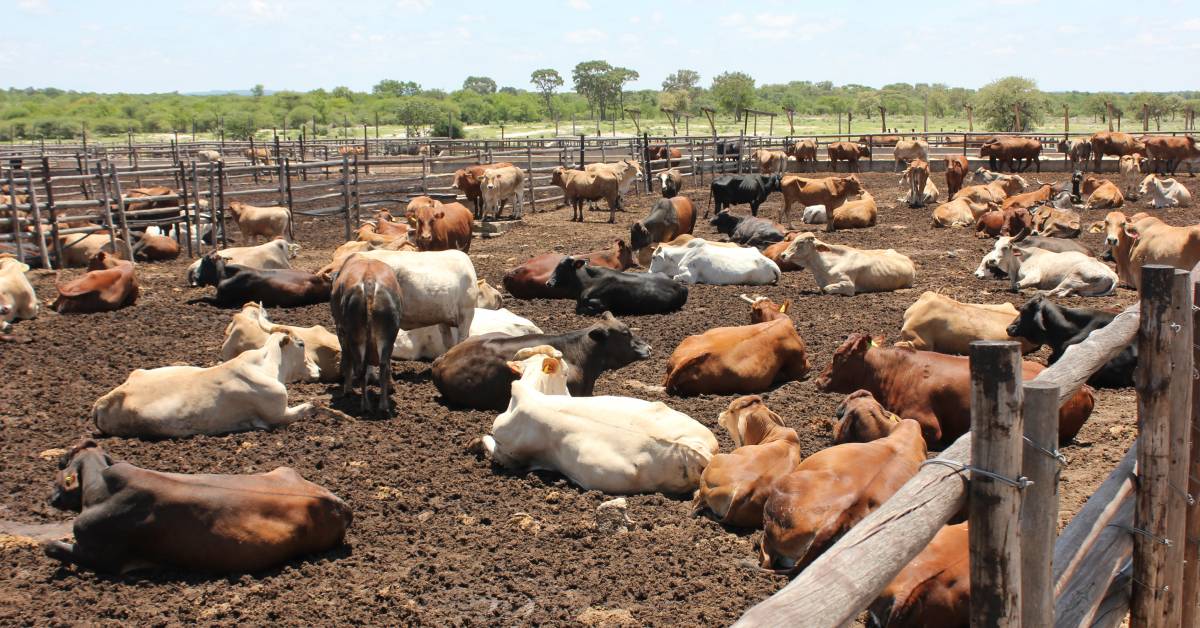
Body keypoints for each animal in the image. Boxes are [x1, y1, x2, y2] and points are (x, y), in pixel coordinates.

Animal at [43, 440, 350, 573]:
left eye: (60, 463)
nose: (51, 498)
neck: (101, 489)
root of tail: (338, 503)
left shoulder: (101, 554)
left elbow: (52, 546)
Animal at [94, 331, 317, 438]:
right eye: (301, 344)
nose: (318, 369)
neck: (267, 365)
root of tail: (104, 401)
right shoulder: (279, 414)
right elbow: (308, 408)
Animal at [329, 255, 403, 415]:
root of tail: (369, 279)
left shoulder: (341, 330)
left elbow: (347, 360)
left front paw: (347, 389)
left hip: (355, 336)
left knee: (360, 367)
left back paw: (365, 406)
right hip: (389, 335)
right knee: (383, 366)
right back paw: (383, 405)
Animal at [982, 234, 1116, 296]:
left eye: (1005, 247)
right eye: (995, 246)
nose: (992, 260)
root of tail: (1113, 276)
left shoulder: (1033, 277)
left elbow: (1016, 285)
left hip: (1072, 277)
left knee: (1052, 292)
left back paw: (1033, 291)